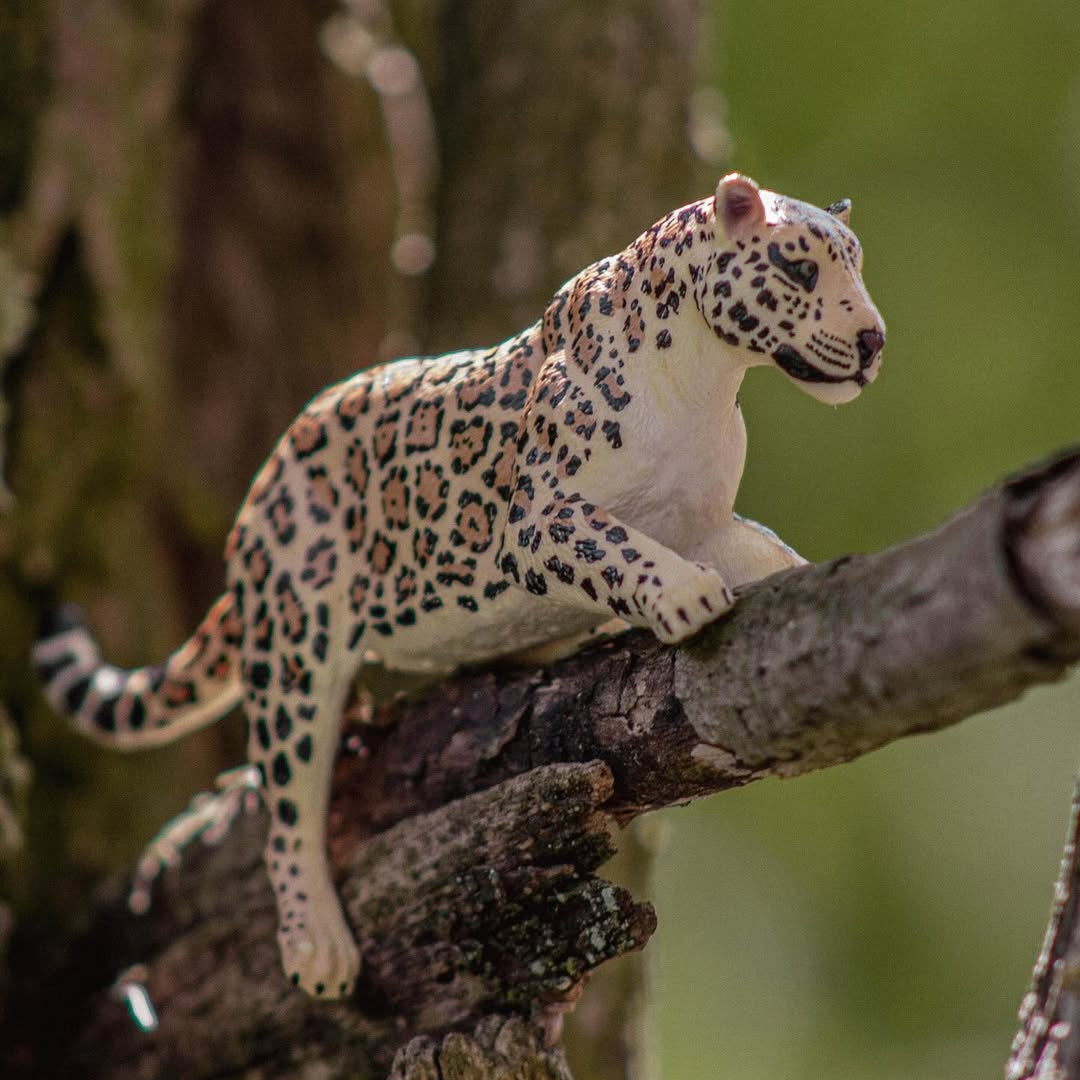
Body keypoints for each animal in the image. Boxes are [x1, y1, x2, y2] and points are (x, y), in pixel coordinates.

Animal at [33, 174, 885, 999]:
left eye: (856, 264)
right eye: (798, 268)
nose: (875, 340)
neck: (706, 384)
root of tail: (255, 509)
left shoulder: (701, 522)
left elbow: (759, 547)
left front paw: (801, 579)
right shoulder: (537, 523)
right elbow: (616, 546)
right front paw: (681, 596)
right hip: (295, 643)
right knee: (287, 800)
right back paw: (317, 945)